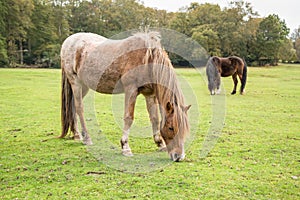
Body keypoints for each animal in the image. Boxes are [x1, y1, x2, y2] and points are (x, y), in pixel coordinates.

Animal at [59, 32, 190, 162]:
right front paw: (125, 147)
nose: (179, 156)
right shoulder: (131, 90)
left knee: (73, 107)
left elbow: (155, 119)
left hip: (84, 86)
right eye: (171, 128)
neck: (147, 59)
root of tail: (69, 41)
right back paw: (86, 138)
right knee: (79, 108)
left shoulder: (150, 94)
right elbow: (129, 118)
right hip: (76, 83)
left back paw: (77, 135)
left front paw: (160, 144)